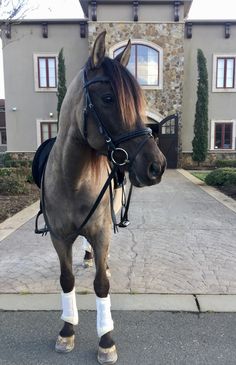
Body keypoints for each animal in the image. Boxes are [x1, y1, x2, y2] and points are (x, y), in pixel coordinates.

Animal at [41, 32, 166, 364]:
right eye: (109, 98)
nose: (157, 166)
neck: (72, 179)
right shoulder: (59, 237)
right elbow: (67, 280)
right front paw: (66, 330)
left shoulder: (101, 231)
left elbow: (101, 285)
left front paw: (106, 339)